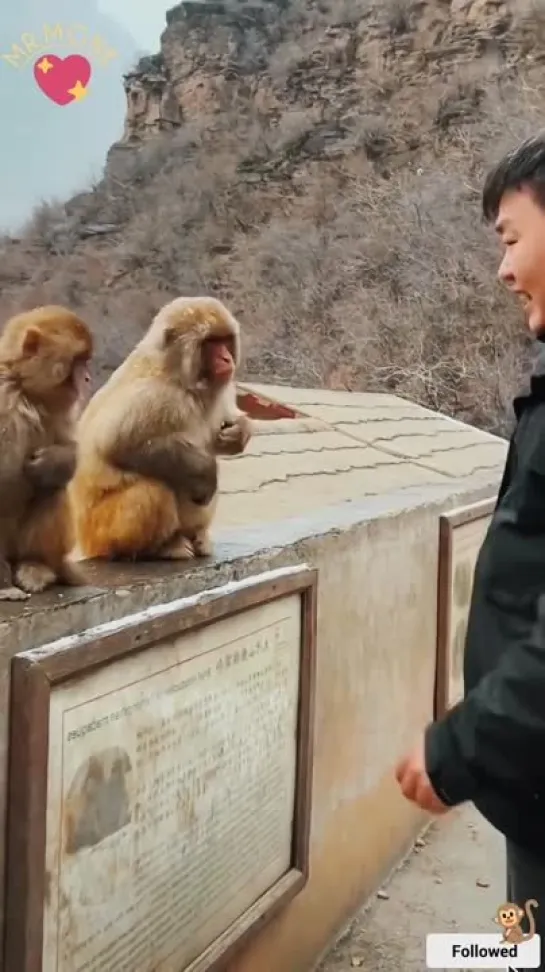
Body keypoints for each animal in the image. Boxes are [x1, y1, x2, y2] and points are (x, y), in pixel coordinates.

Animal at [0, 306, 92, 600]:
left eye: (86, 360)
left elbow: (70, 450)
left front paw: (51, 463)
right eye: (77, 360)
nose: (88, 378)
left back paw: (35, 565)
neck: (24, 390)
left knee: (53, 490)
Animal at [68, 294, 253, 560]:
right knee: (152, 491)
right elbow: (116, 443)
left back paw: (197, 535)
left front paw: (238, 433)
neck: (181, 377)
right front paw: (205, 473)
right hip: (102, 531)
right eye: (210, 343)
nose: (226, 358)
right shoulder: (157, 395)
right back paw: (161, 547)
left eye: (224, 340)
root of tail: (85, 541)